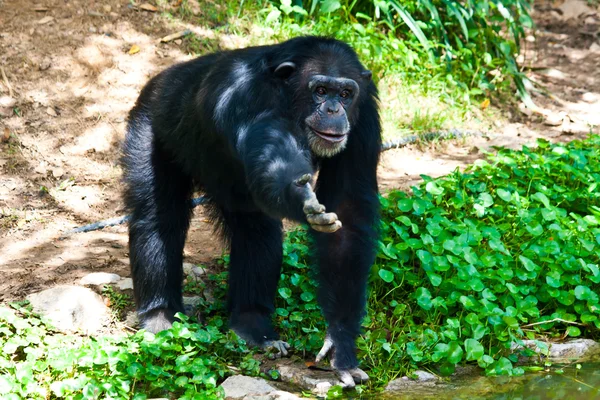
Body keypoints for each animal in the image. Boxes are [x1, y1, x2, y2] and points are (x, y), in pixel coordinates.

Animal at [123, 36, 380, 386]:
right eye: (321, 90)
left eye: (345, 93)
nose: (333, 109)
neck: (288, 97)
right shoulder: (248, 96)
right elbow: (276, 161)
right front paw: (300, 196)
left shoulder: (364, 117)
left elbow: (348, 217)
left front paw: (341, 343)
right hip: (149, 122)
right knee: (157, 218)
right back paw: (159, 315)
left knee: (257, 230)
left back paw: (252, 327)